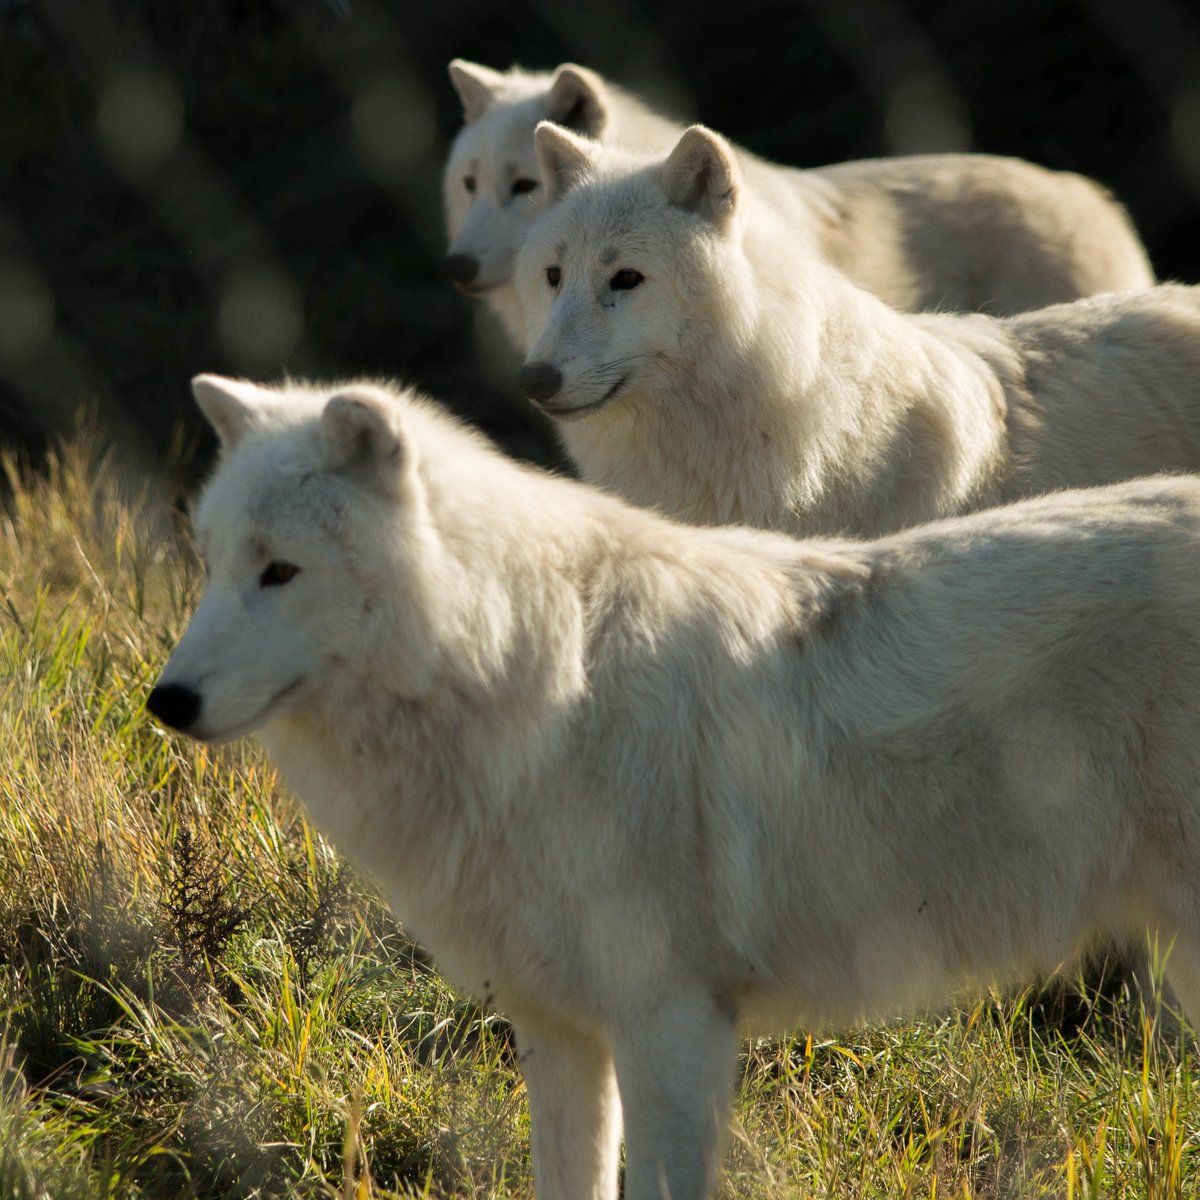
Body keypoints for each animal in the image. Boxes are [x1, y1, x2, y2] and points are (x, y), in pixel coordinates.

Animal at [154, 372, 1200, 1200]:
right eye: (214, 563)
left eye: (280, 572)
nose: (166, 700)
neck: (538, 684)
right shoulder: (560, 1033)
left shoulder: (673, 1027)